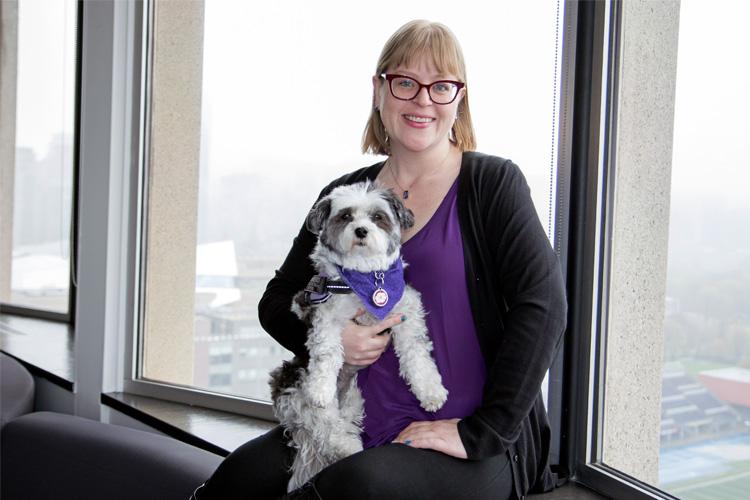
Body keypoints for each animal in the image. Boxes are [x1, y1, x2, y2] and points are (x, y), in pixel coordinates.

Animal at [268, 181, 446, 492]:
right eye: (346, 216)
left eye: (377, 217)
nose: (361, 231)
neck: (368, 277)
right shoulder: (325, 315)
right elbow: (327, 352)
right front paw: (320, 386)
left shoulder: (407, 311)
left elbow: (417, 353)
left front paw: (430, 391)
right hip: (298, 392)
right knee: (326, 426)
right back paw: (346, 446)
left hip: (353, 399)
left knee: (341, 424)